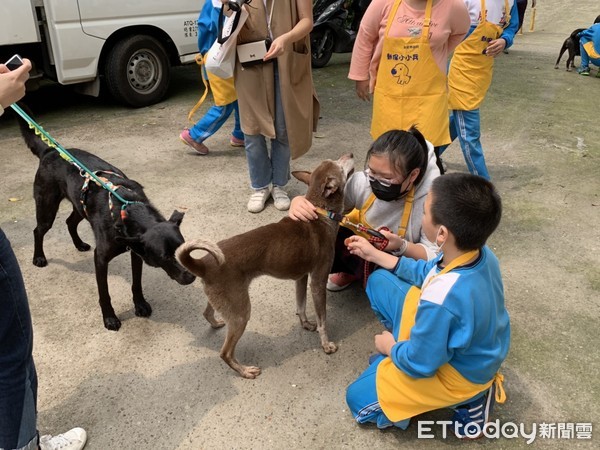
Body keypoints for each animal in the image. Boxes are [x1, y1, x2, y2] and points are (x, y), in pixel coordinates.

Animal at [17, 106, 195, 330]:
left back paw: (79, 244)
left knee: (69, 222)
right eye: (165, 258)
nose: (192, 276)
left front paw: (140, 304)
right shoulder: (100, 259)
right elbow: (105, 293)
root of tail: (50, 151)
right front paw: (110, 318)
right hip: (47, 207)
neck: (128, 209)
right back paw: (39, 257)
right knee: (38, 230)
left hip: (79, 206)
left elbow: (137, 283)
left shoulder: (137, 253)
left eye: (183, 250)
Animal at [175, 156, 352, 380]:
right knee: (225, 353)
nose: (351, 153)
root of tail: (203, 264)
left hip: (223, 300)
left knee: (207, 313)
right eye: (340, 165)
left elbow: (301, 306)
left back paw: (216, 323)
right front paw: (326, 345)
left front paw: (305, 324)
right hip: (241, 313)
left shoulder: (301, 278)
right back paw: (245, 371)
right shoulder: (317, 283)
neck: (319, 211)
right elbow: (323, 320)